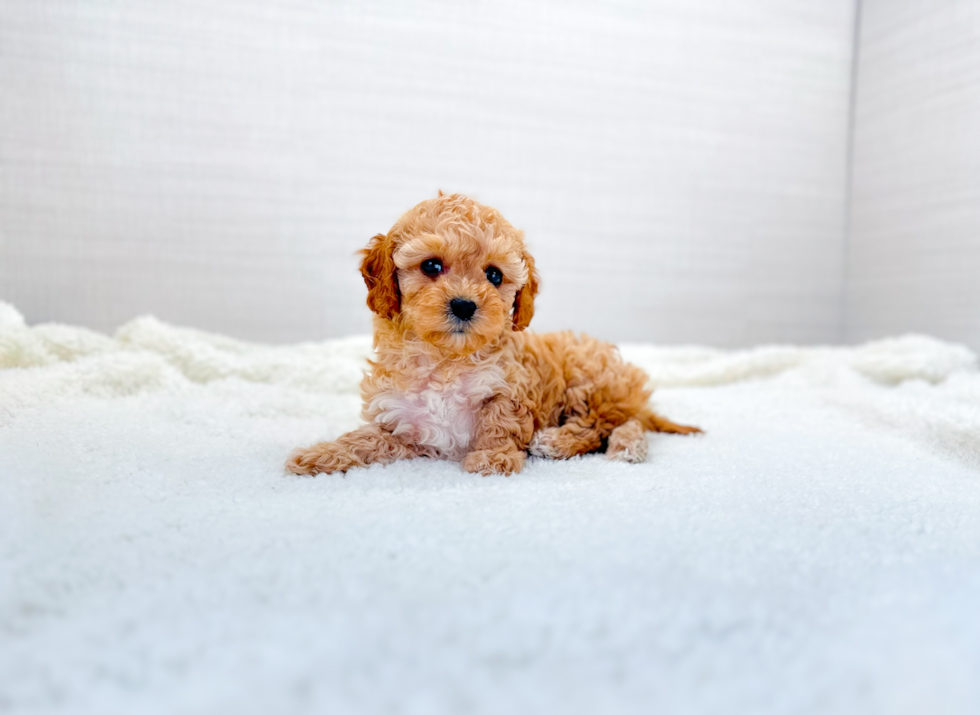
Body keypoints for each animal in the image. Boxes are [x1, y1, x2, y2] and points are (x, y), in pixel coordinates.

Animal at [288, 193, 700, 478]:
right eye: (431, 265)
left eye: (494, 275)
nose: (464, 305)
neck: (446, 360)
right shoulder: (403, 424)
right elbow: (364, 440)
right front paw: (320, 454)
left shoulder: (509, 387)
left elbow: (500, 422)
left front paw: (493, 457)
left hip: (591, 379)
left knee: (610, 424)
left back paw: (574, 442)